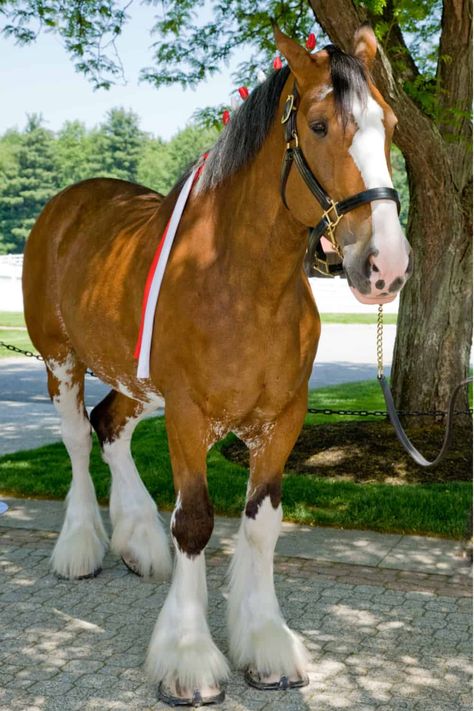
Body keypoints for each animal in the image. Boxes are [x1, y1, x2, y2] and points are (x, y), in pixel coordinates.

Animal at [22, 22, 412, 708]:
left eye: (388, 124)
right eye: (318, 125)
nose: (384, 265)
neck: (241, 282)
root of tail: (71, 202)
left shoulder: (282, 419)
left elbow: (260, 525)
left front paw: (266, 644)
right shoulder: (187, 413)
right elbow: (197, 523)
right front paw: (187, 657)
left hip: (135, 380)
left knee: (110, 426)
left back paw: (139, 540)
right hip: (62, 361)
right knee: (77, 437)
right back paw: (80, 546)